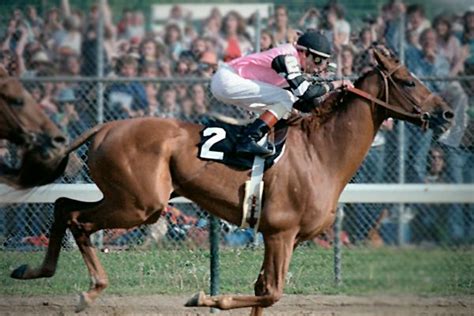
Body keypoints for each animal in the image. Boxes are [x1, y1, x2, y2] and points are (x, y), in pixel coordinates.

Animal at [8, 47, 452, 314]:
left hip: (125, 199)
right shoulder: (281, 233)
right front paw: (204, 295)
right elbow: (270, 291)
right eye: (409, 81)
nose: (447, 113)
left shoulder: (281, 237)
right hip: (140, 205)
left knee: (63, 206)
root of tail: (105, 127)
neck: (321, 152)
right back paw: (89, 289)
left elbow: (261, 291)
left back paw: (33, 271)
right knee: (78, 220)